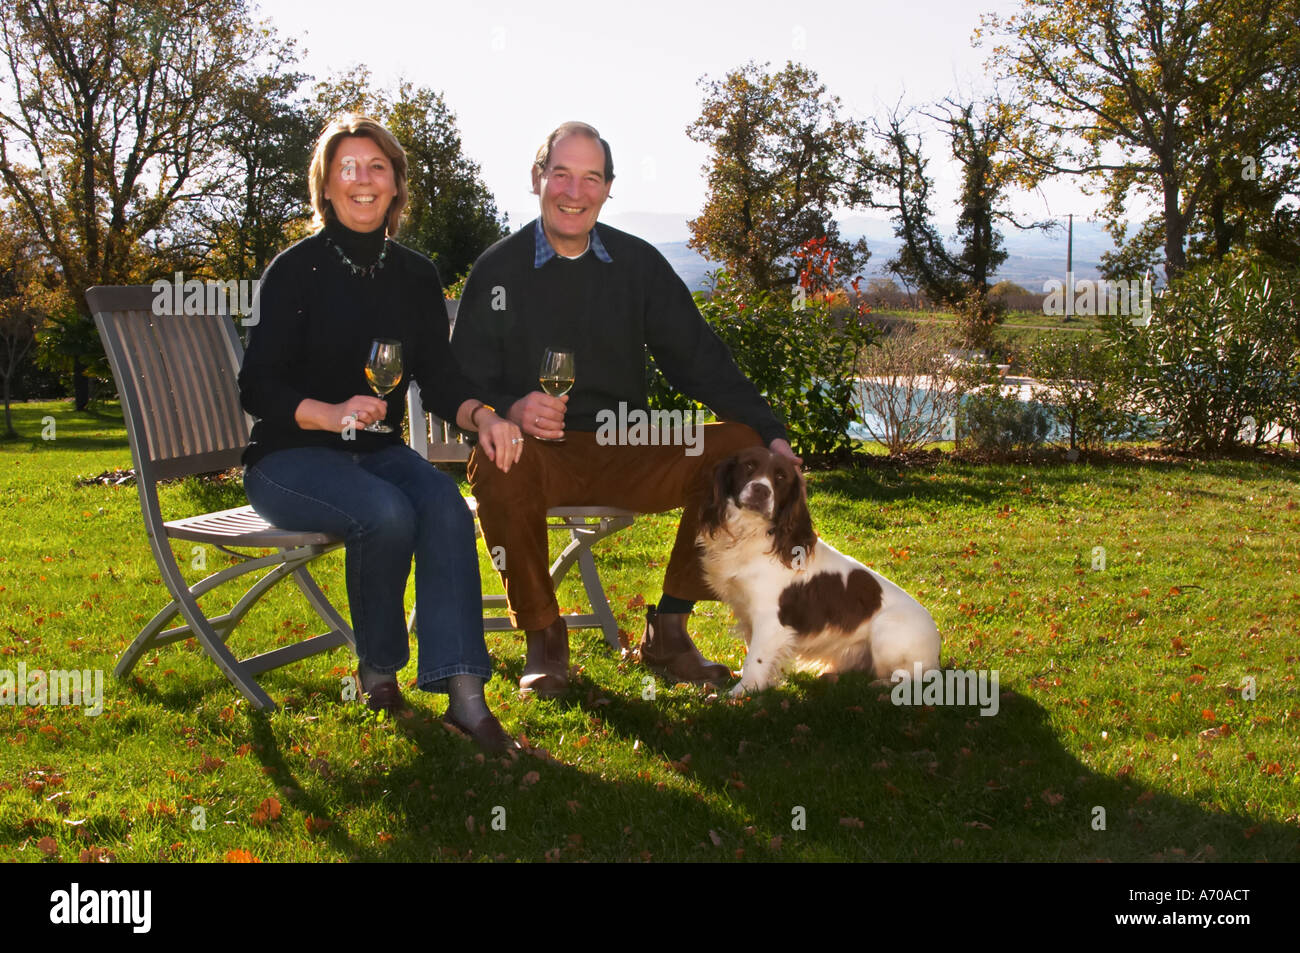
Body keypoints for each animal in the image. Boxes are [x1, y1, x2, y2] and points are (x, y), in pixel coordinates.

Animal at [696, 442, 941, 696]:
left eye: (781, 477)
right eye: (749, 466)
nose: (761, 490)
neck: (751, 534)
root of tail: (937, 651)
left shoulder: (769, 619)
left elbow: (756, 659)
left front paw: (741, 693)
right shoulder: (747, 612)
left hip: (885, 632)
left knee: (911, 677)